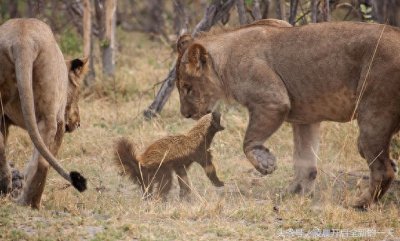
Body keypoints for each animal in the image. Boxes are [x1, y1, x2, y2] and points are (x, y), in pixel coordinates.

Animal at [0, 18, 87, 209]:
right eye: (78, 92)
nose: (78, 123)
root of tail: (22, 40)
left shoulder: (4, 120)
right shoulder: (60, 122)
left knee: (1, 148)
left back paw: (6, 187)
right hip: (49, 115)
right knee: (42, 162)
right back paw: (30, 203)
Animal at [176, 19, 400, 209]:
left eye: (187, 88)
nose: (185, 114)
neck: (224, 61)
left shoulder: (273, 101)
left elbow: (248, 141)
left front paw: (265, 164)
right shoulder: (306, 119)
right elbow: (305, 161)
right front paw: (293, 194)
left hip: (374, 115)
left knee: (384, 169)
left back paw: (360, 203)